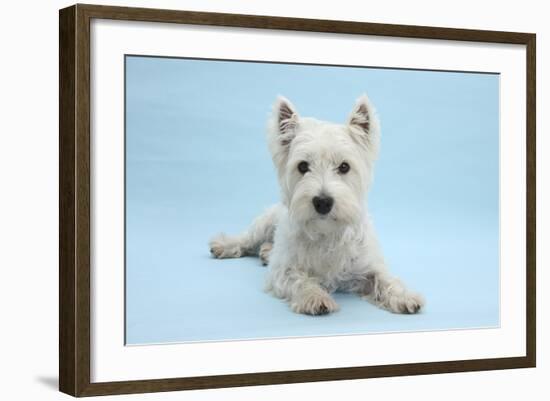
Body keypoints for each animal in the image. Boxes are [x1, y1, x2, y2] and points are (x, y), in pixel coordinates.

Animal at [209, 94, 424, 316]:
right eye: (303, 166)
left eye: (344, 166)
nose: (323, 202)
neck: (326, 232)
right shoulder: (283, 270)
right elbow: (299, 279)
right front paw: (315, 297)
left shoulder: (368, 266)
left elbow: (386, 280)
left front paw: (405, 296)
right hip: (265, 223)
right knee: (247, 239)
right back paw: (224, 245)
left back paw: (266, 252)